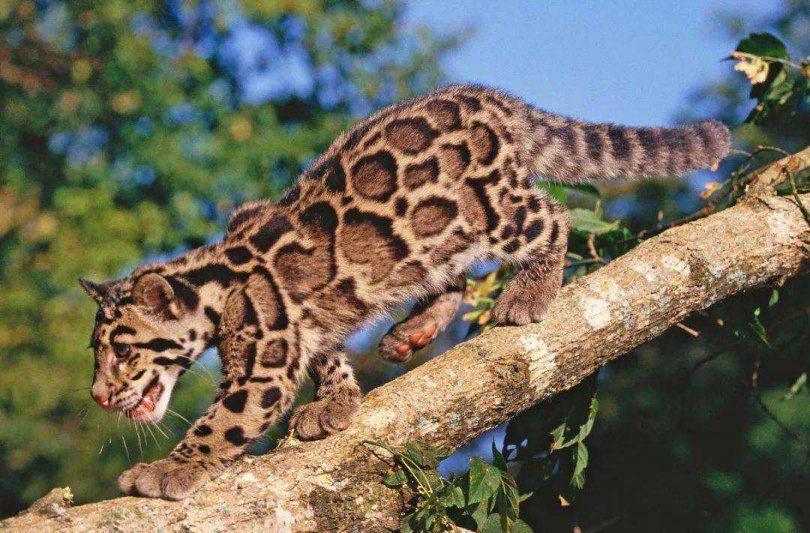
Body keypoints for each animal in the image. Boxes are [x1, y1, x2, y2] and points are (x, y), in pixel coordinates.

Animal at [79, 84, 728, 498]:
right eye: (97, 351)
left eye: (124, 350)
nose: (98, 395)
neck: (214, 281)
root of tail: (491, 98)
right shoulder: (303, 332)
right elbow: (329, 357)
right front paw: (338, 401)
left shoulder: (263, 360)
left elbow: (221, 421)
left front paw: (167, 470)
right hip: (432, 238)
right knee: (452, 277)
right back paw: (414, 329)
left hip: (491, 209)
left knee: (552, 215)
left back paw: (530, 291)